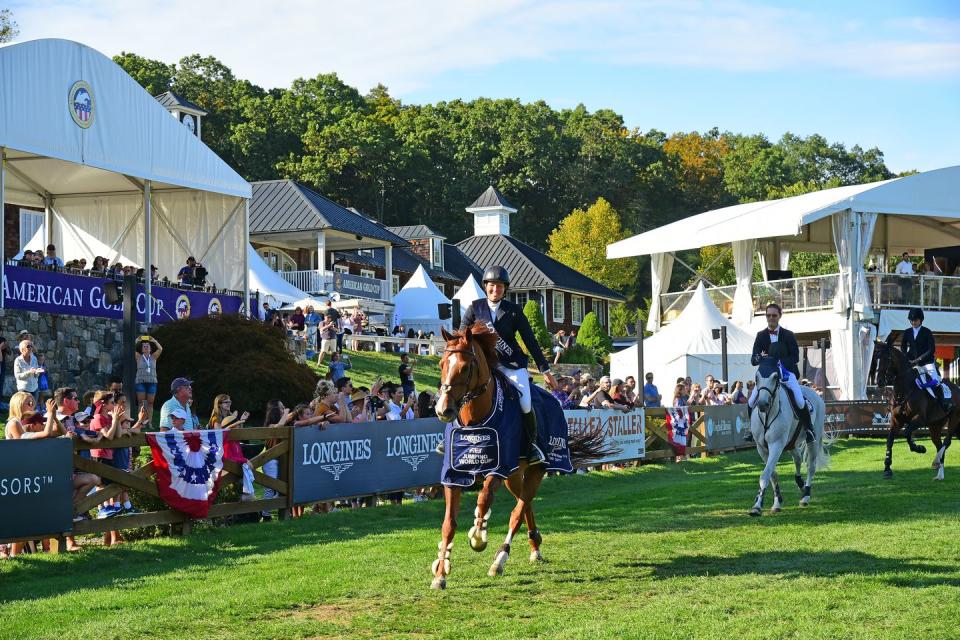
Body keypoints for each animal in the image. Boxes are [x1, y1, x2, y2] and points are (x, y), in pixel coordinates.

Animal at [434, 324, 612, 592]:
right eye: (442, 363)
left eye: (465, 367)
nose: (444, 409)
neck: (475, 421)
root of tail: (554, 399)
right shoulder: (454, 474)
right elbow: (448, 524)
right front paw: (441, 572)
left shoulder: (499, 469)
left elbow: (484, 499)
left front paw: (478, 535)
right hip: (515, 475)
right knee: (524, 502)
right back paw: (535, 543)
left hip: (536, 468)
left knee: (517, 511)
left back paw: (500, 559)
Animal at [748, 362, 828, 516]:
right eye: (756, 377)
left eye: (775, 377)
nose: (762, 404)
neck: (768, 414)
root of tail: (816, 393)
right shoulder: (762, 448)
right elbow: (772, 474)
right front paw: (777, 502)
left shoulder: (776, 445)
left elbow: (765, 475)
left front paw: (757, 506)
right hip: (791, 444)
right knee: (797, 459)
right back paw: (800, 484)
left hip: (812, 441)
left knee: (811, 466)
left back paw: (806, 496)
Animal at [872, 338, 956, 478]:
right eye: (875, 359)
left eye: (887, 358)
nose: (879, 382)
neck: (904, 390)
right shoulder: (896, 420)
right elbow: (890, 440)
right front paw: (887, 468)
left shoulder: (919, 419)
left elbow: (907, 433)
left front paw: (919, 448)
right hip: (935, 425)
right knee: (939, 444)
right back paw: (939, 470)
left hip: (954, 420)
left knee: (946, 441)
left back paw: (936, 463)